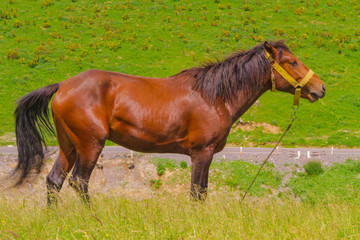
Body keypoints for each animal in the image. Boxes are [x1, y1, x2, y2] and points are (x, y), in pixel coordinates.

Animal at [14, 40, 324, 204]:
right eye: (292, 62)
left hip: (68, 145)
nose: (319, 88)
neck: (213, 95)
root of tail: (62, 86)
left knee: (54, 181)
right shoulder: (202, 153)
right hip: (90, 145)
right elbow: (197, 192)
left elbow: (202, 192)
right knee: (79, 182)